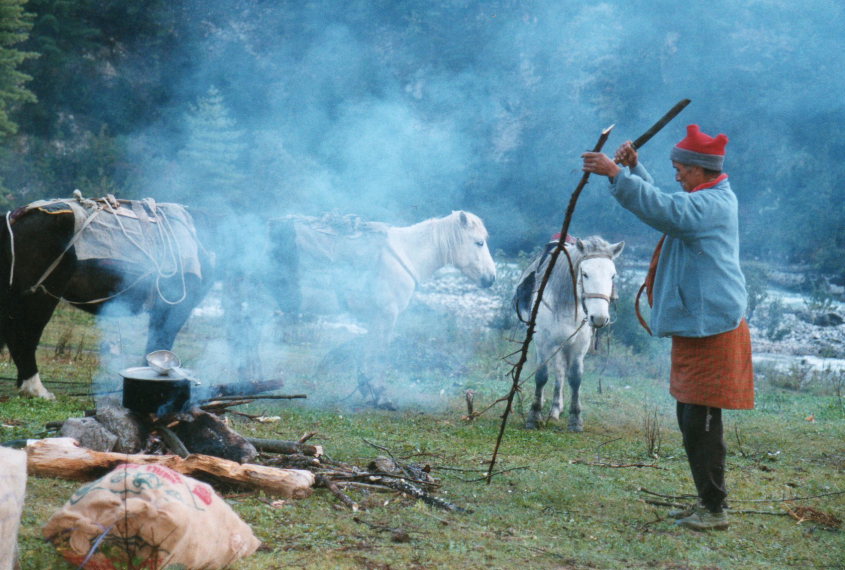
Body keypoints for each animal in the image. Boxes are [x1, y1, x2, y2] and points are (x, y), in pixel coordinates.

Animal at [512, 235, 624, 430]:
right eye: (585, 274)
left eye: (612, 275)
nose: (599, 318)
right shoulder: (544, 342)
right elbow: (541, 375)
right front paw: (534, 415)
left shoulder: (578, 347)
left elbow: (575, 378)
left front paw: (575, 418)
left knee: (560, 372)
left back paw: (556, 409)